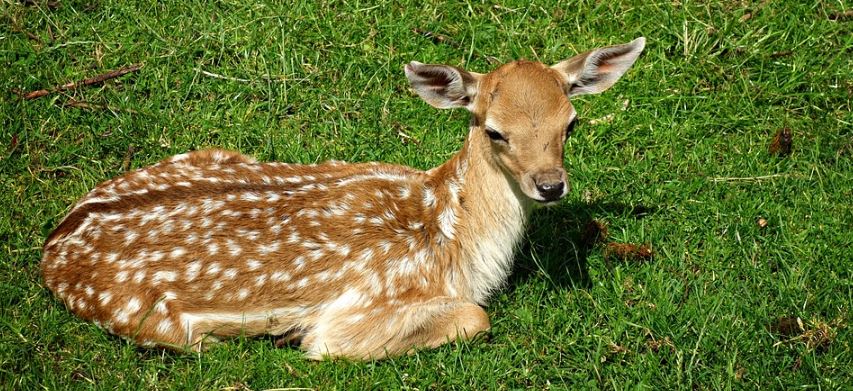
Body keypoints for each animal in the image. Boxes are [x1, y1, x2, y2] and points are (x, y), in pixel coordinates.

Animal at [38, 37, 640, 362]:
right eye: (494, 131)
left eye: (571, 123)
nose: (551, 185)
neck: (453, 235)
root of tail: (53, 247)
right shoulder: (361, 309)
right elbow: (475, 317)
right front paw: (294, 337)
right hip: (147, 320)